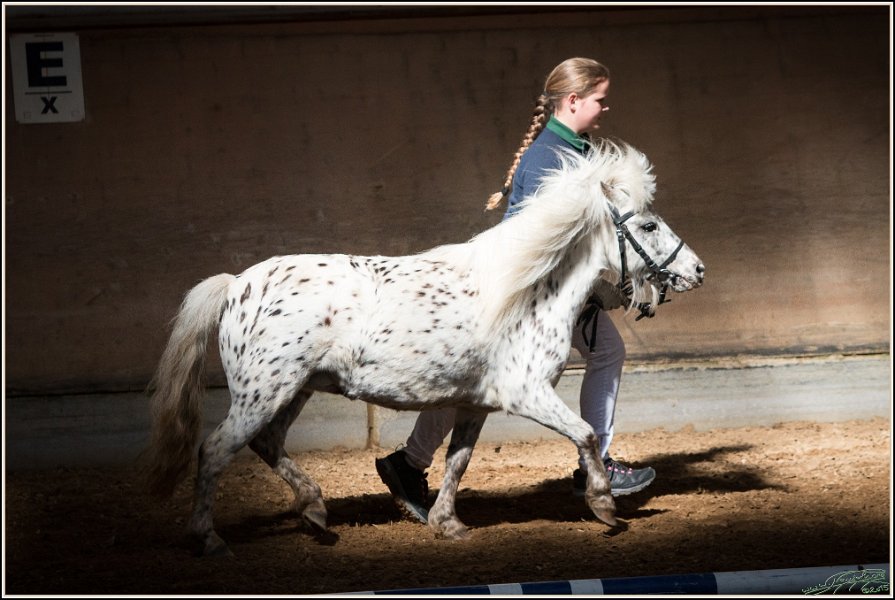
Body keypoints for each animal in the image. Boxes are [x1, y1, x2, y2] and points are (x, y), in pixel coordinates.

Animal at [145, 139, 705, 556]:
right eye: (648, 224)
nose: (697, 270)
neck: (526, 291)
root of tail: (236, 285)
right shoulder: (528, 394)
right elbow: (587, 434)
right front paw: (605, 507)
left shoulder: (475, 404)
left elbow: (457, 461)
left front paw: (446, 524)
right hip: (263, 392)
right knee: (215, 450)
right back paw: (210, 539)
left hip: (294, 390)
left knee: (267, 444)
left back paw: (317, 513)